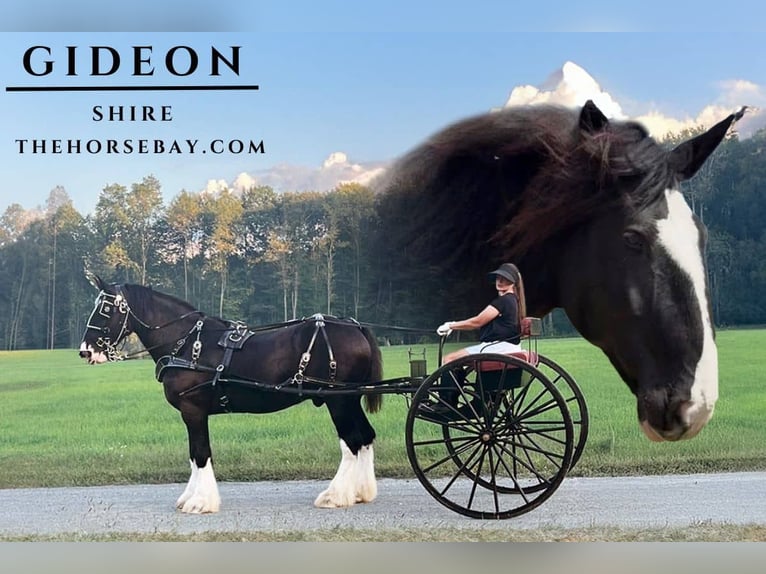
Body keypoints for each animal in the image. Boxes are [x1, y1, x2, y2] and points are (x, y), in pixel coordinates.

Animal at [78, 273, 383, 514]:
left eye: (105, 309)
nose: (85, 351)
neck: (187, 343)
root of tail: (354, 326)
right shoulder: (192, 413)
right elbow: (193, 456)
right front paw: (190, 497)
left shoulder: (193, 410)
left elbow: (201, 453)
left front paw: (200, 502)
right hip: (350, 400)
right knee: (365, 437)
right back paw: (361, 492)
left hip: (338, 401)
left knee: (352, 442)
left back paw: (336, 496)